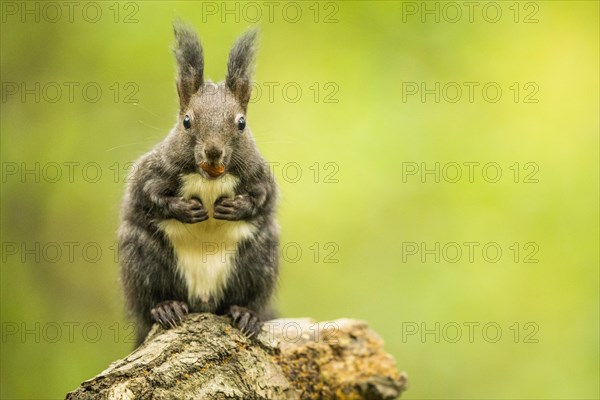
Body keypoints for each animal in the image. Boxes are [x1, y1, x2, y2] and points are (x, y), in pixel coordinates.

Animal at [118, 22, 280, 346]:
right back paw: (166, 307)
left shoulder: (259, 175)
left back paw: (246, 314)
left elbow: (264, 197)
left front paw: (236, 207)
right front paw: (184, 209)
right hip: (141, 256)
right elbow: (147, 195)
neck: (210, 180)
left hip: (260, 259)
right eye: (186, 122)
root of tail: (203, 300)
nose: (213, 151)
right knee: (148, 301)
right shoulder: (152, 171)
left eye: (241, 123)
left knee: (247, 298)